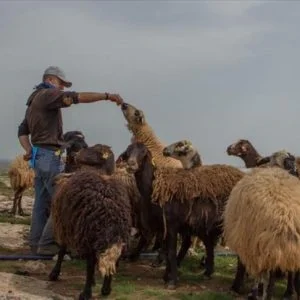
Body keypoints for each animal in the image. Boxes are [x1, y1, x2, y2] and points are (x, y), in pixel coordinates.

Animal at [48, 144, 132, 298]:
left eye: (92, 149)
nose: (75, 154)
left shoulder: (64, 225)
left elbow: (62, 251)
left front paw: (54, 273)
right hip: (117, 238)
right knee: (113, 261)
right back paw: (106, 289)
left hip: (88, 232)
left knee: (90, 262)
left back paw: (86, 293)